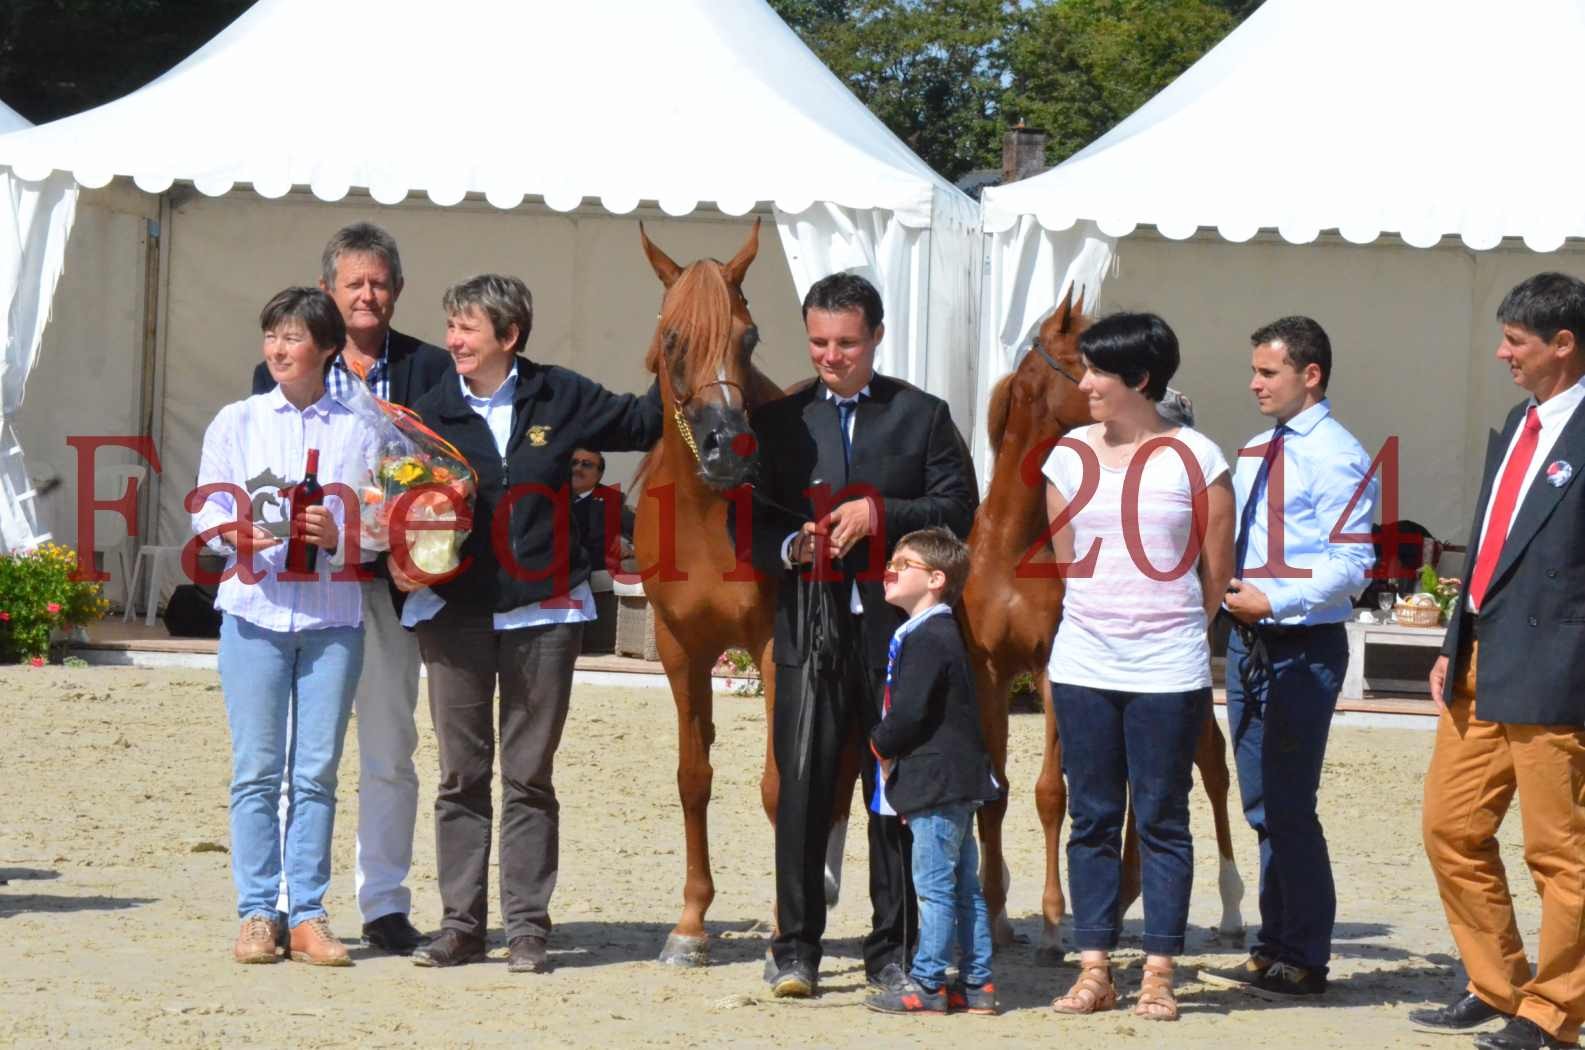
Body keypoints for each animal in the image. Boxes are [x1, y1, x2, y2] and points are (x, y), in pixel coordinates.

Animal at [957, 288, 1242, 964]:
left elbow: (1050, 793)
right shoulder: (990, 672)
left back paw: (1231, 907)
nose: (1181, 403)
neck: (1014, 547)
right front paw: (998, 915)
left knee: (1212, 766)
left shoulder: (1049, 671)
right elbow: (996, 790)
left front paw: (1053, 924)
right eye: (1089, 359)